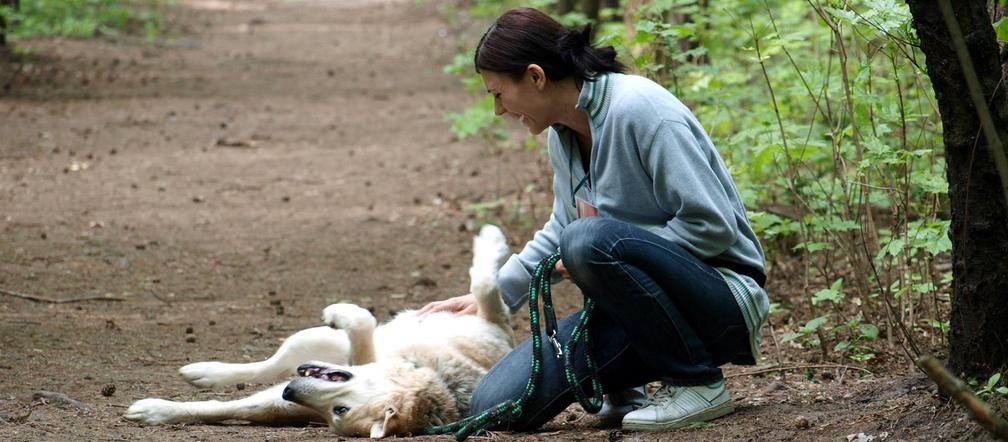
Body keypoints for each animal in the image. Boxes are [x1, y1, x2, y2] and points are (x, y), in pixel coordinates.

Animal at [124, 226, 516, 435]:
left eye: (338, 412)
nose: (291, 394)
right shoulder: (487, 318)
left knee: (277, 368)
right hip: (312, 339)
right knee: (268, 364)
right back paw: (205, 371)